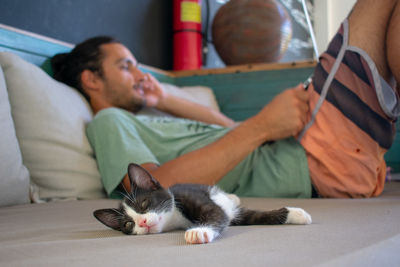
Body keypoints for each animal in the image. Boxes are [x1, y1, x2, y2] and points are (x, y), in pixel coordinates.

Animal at [94, 163, 312, 245]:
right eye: (128, 224)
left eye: (144, 204)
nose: (143, 223)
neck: (176, 218)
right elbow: (245, 216)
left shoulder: (190, 197)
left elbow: (220, 214)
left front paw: (296, 213)